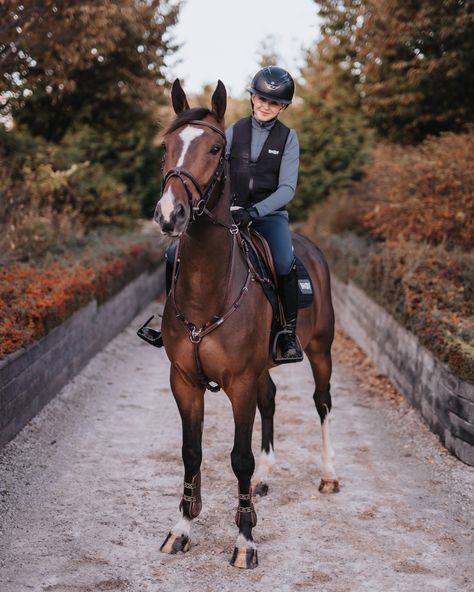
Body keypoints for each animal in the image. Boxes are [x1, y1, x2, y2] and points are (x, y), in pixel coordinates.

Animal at [154, 78, 338, 568]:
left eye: (216, 148)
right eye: (167, 146)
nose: (170, 214)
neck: (208, 289)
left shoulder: (238, 382)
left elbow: (239, 458)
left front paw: (244, 541)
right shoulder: (184, 381)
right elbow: (192, 451)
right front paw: (183, 526)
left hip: (320, 350)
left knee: (322, 403)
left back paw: (329, 475)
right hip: (262, 370)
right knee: (270, 399)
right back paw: (266, 479)